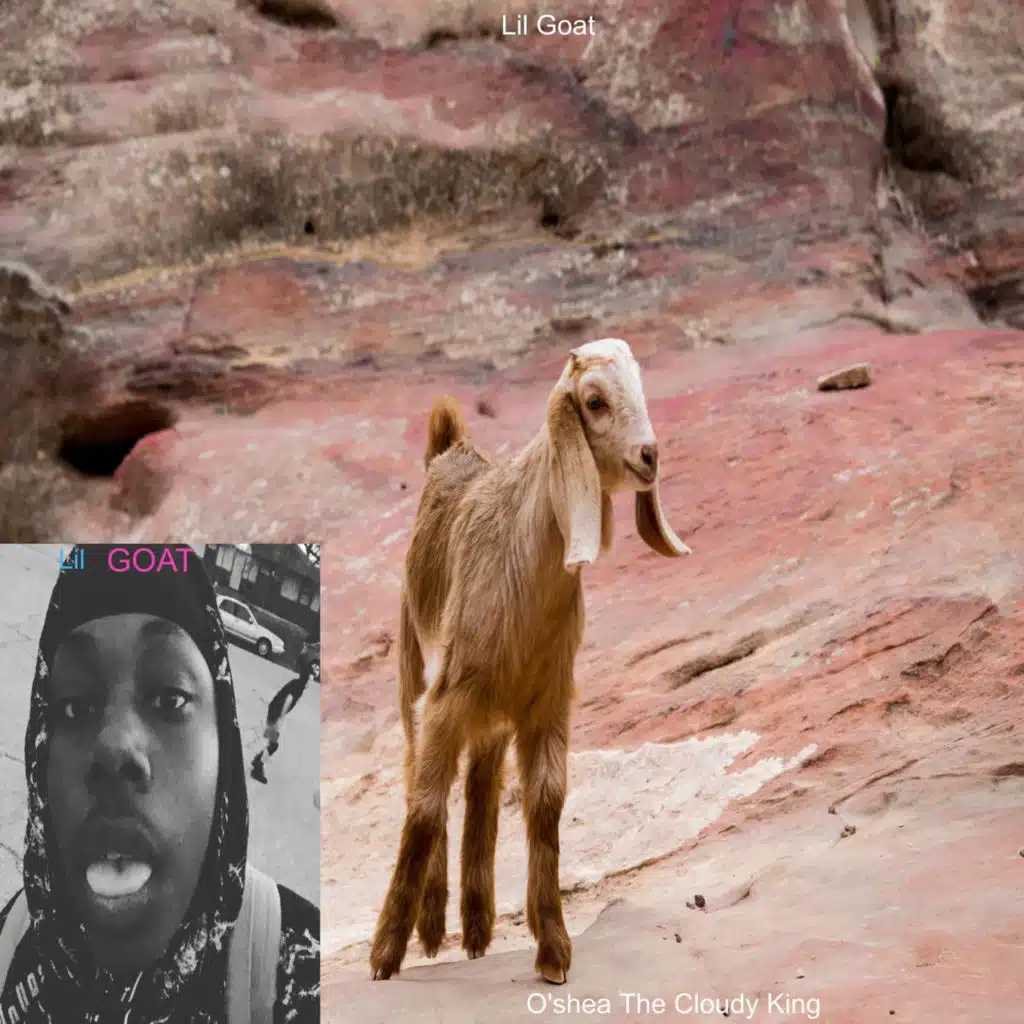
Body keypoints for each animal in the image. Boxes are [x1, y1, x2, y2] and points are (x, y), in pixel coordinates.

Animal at [369, 338, 690, 984]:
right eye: (594, 401)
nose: (649, 456)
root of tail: (449, 449)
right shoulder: (445, 697)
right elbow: (424, 808)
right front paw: (385, 954)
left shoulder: (547, 701)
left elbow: (545, 804)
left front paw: (554, 949)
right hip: (416, 672)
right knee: (423, 777)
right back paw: (433, 925)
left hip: (491, 716)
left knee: (481, 788)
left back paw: (475, 927)